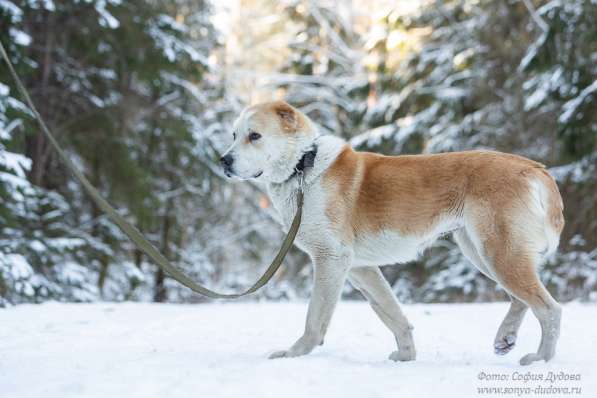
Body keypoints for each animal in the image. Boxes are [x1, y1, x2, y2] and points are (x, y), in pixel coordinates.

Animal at [219, 101, 564, 366]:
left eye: (254, 136)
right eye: (234, 135)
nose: (223, 160)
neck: (304, 167)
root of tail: (534, 168)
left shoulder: (332, 259)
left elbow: (315, 318)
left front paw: (294, 354)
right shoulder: (360, 268)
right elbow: (391, 313)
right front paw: (407, 355)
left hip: (498, 252)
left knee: (549, 309)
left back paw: (541, 359)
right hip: (481, 251)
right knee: (520, 299)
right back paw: (506, 337)